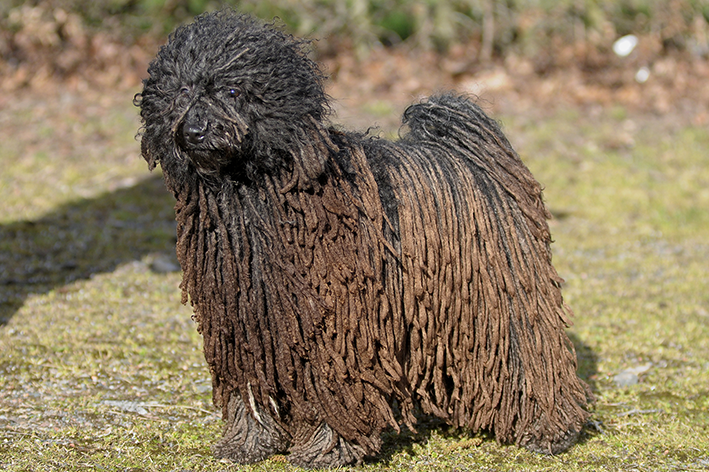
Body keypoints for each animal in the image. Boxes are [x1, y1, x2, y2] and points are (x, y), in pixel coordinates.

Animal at [136, 10, 588, 468]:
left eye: (232, 90)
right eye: (183, 90)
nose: (195, 131)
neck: (253, 190)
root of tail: (469, 153)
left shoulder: (334, 323)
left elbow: (332, 387)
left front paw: (327, 447)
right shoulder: (245, 320)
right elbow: (249, 386)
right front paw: (248, 442)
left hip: (499, 295)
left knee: (529, 354)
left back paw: (550, 429)